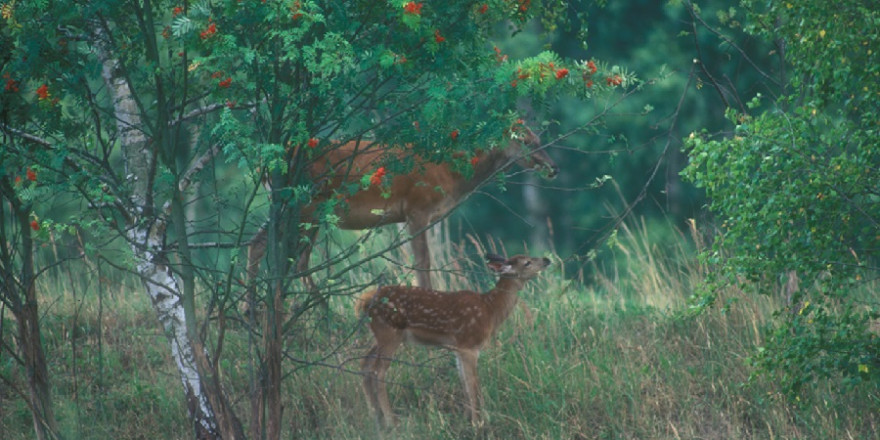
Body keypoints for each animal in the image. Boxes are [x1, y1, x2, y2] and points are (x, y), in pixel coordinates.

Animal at [244, 127, 552, 290]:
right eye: (526, 141)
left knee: (266, 246)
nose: (553, 168)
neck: (450, 174)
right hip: (305, 204)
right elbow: (423, 262)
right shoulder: (418, 208)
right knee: (290, 256)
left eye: (540, 140)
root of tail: (267, 164)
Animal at [356, 253, 552, 428]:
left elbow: (464, 382)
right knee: (378, 372)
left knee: (365, 364)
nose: (547, 260)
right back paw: (391, 421)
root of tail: (364, 302)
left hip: (379, 336)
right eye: (527, 262)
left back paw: (375, 417)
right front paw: (478, 422)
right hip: (389, 332)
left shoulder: (458, 348)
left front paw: (467, 419)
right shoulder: (469, 345)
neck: (490, 310)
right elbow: (473, 385)